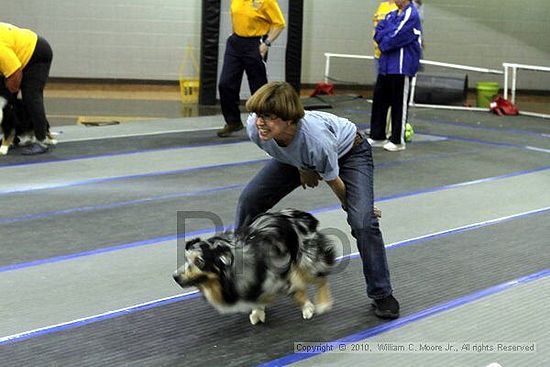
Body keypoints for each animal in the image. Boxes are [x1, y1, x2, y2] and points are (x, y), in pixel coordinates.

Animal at [172, 208, 336, 326]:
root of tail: (302, 215)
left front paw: (307, 307)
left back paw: (323, 303)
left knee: (321, 278)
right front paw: (258, 312)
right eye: (186, 259)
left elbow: (295, 291)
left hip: (306, 258)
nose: (175, 277)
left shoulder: (278, 273)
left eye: (199, 262)